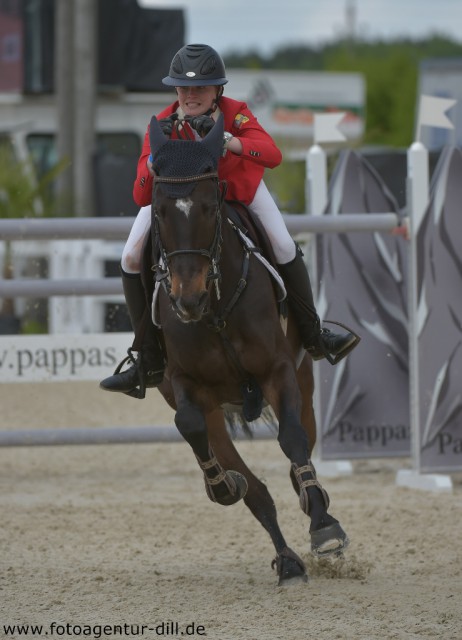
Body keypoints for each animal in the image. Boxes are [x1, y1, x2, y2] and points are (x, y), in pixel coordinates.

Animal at [143, 115, 348, 584]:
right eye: (159, 210)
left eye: (208, 206)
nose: (187, 300)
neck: (216, 309)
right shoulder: (184, 384)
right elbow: (191, 426)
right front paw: (221, 485)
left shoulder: (278, 372)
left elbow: (292, 440)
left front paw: (325, 527)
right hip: (210, 406)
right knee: (252, 487)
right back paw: (286, 558)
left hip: (303, 379)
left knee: (301, 445)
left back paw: (311, 502)